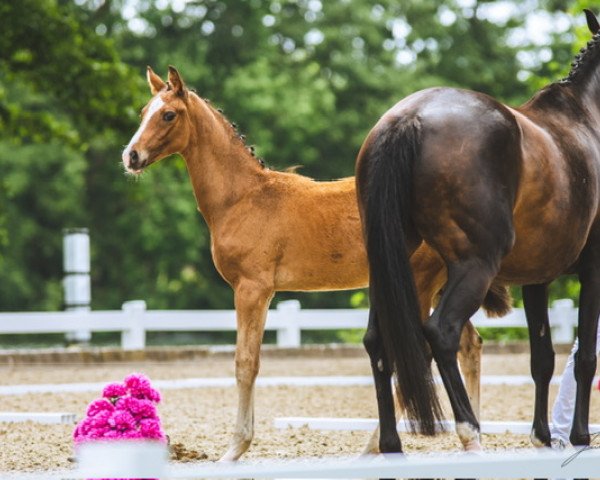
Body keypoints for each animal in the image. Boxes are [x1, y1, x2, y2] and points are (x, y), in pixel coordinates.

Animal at [118, 66, 510, 458]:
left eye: (169, 115)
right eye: (143, 111)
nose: (131, 156)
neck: (244, 197)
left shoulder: (253, 289)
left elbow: (246, 363)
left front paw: (234, 450)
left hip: (419, 284)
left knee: (423, 351)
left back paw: (382, 445)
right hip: (442, 284)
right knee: (468, 345)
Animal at [356, 10, 600, 454]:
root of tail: (408, 118)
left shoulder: (537, 279)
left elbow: (543, 358)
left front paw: (542, 436)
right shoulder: (593, 270)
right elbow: (585, 357)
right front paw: (579, 437)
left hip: (388, 267)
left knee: (377, 341)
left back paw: (391, 445)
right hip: (474, 266)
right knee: (441, 331)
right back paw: (470, 432)